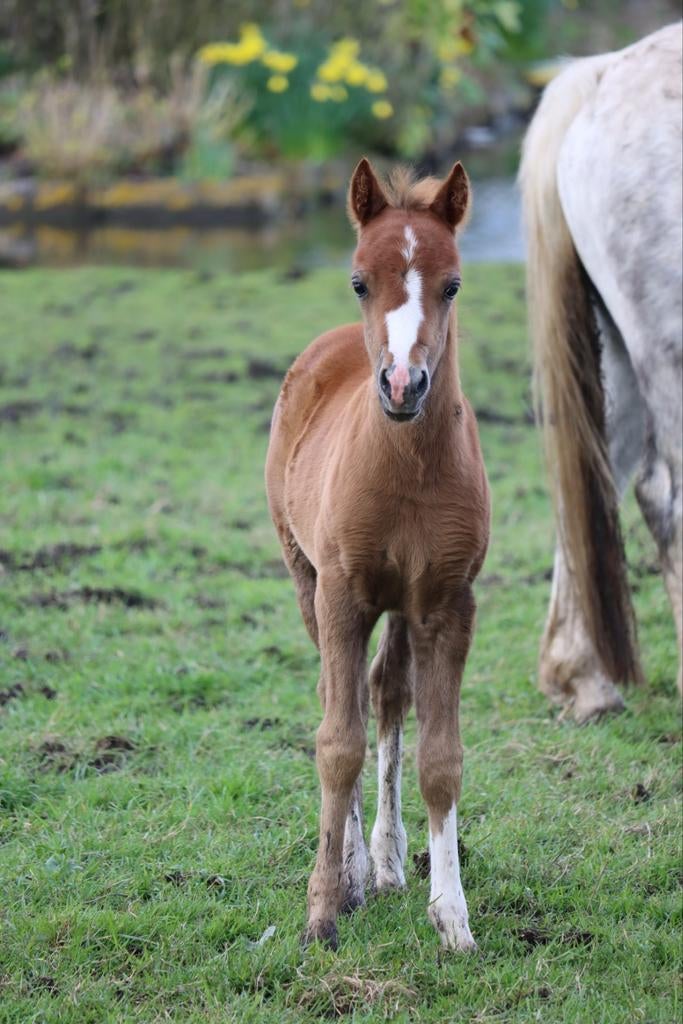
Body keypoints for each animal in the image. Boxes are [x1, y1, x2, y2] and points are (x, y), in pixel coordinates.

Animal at [266, 158, 489, 950]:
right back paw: (358, 870)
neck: (406, 472)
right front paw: (323, 909)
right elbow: (338, 743)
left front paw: (452, 918)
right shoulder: (340, 595)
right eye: (360, 280)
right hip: (305, 580)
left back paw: (388, 862)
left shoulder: (447, 603)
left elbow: (439, 758)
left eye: (452, 285)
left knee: (386, 696)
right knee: (347, 702)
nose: (401, 384)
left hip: (401, 605)